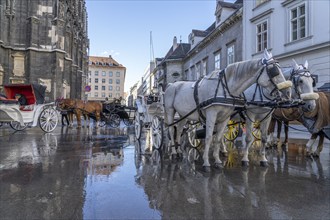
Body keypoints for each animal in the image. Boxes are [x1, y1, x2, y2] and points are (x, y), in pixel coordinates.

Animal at [164, 49, 292, 172]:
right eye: (274, 70)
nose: (287, 92)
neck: (224, 88)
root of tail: (171, 84)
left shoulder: (227, 117)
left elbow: (218, 138)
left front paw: (218, 161)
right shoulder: (214, 115)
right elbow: (209, 137)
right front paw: (206, 163)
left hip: (183, 115)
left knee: (179, 131)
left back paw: (179, 151)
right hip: (170, 111)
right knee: (170, 130)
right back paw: (174, 152)